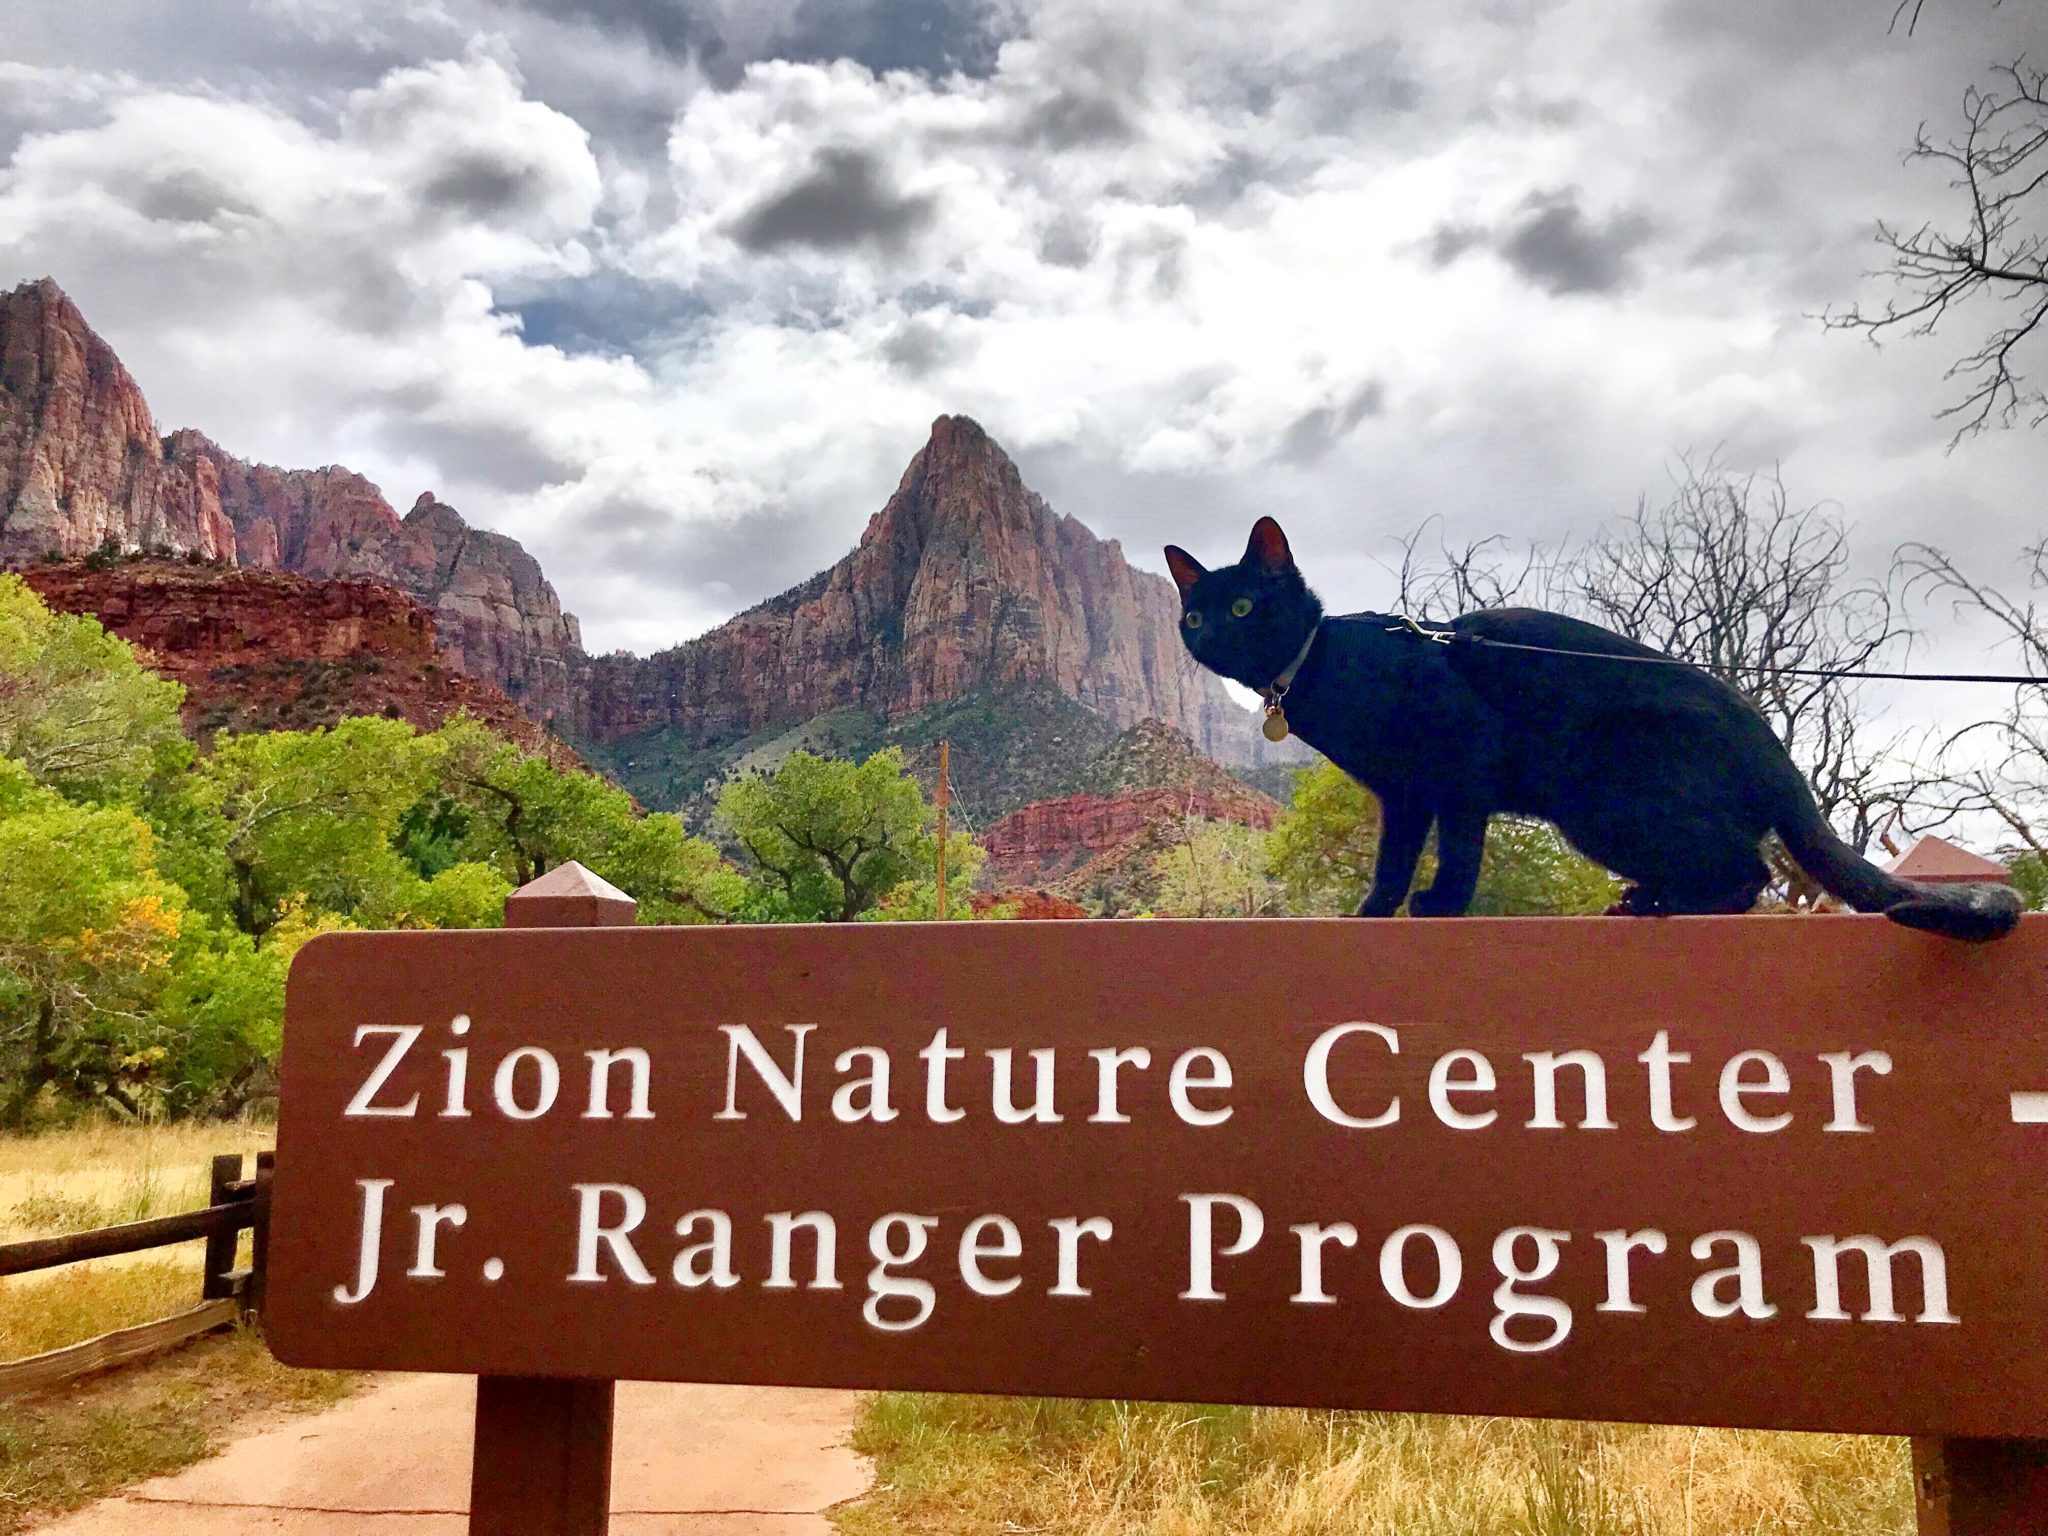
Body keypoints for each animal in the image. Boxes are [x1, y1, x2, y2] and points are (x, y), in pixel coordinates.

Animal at [1163, 524, 2023, 946]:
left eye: (1242, 607)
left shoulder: (1458, 768)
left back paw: (1657, 907)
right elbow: (1392, 859)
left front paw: (1439, 907)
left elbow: (1458, 850)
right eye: (1195, 614)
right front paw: (1373, 914)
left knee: (1746, 871)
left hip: (1598, 796)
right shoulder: (1403, 794)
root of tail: (1774, 748)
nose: (1208, 637)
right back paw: (1652, 900)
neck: (1323, 663)